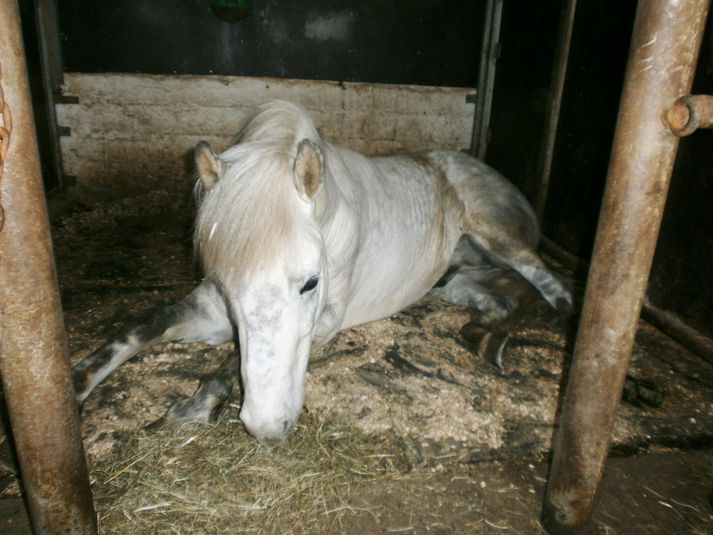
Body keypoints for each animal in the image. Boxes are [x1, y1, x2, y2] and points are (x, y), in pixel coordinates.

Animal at [72, 99, 572, 444]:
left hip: (500, 237)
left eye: (311, 282)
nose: (268, 428)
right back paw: (482, 336)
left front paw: (193, 408)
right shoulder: (212, 307)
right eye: (227, 285)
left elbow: (232, 364)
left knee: (551, 286)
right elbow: (140, 328)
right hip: (453, 278)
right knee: (502, 293)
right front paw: (72, 391)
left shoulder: (326, 318)